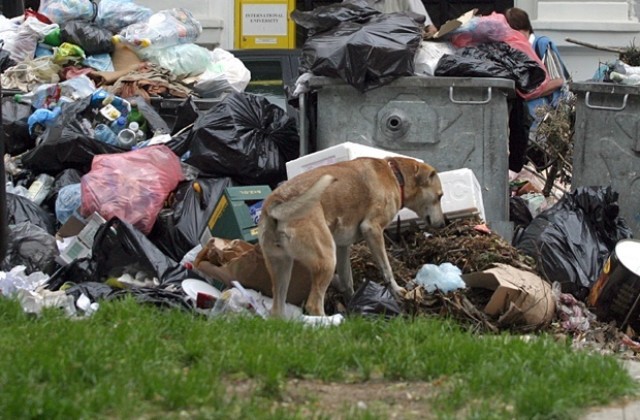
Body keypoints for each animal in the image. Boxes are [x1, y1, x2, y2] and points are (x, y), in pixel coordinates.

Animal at [256, 156, 444, 316]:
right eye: (440, 196)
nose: (443, 224)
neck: (396, 176)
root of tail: (277, 201)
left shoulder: (342, 247)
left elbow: (347, 280)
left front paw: (354, 302)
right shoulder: (372, 230)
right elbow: (386, 269)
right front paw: (397, 291)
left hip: (281, 266)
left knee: (277, 309)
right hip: (326, 259)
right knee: (313, 305)